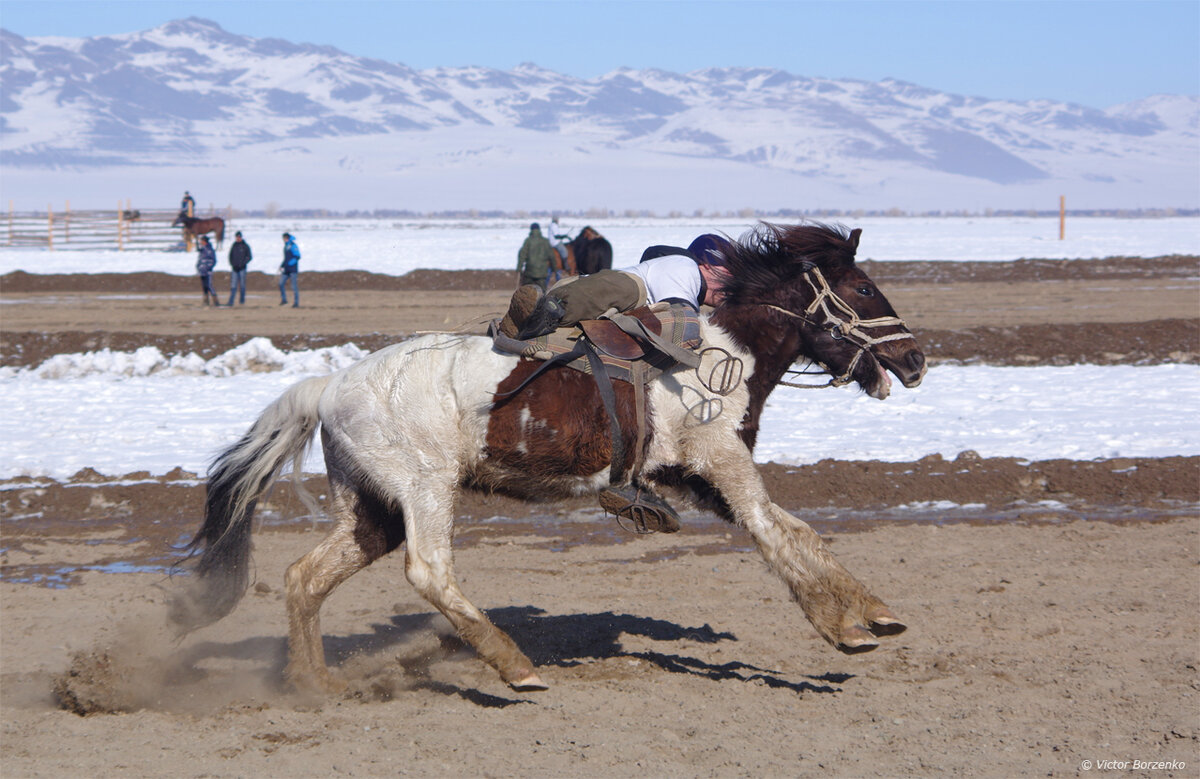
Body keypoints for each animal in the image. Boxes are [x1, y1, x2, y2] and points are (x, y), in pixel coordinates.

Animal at [171, 222, 926, 691]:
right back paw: (515, 667)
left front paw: (877, 611)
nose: (916, 360)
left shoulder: (700, 478)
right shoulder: (722, 462)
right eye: (863, 289)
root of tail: (329, 385)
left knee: (305, 577)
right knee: (429, 571)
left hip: (369, 509)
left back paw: (316, 681)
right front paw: (843, 628)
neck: (721, 346)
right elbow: (775, 535)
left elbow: (798, 531)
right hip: (424, 489)